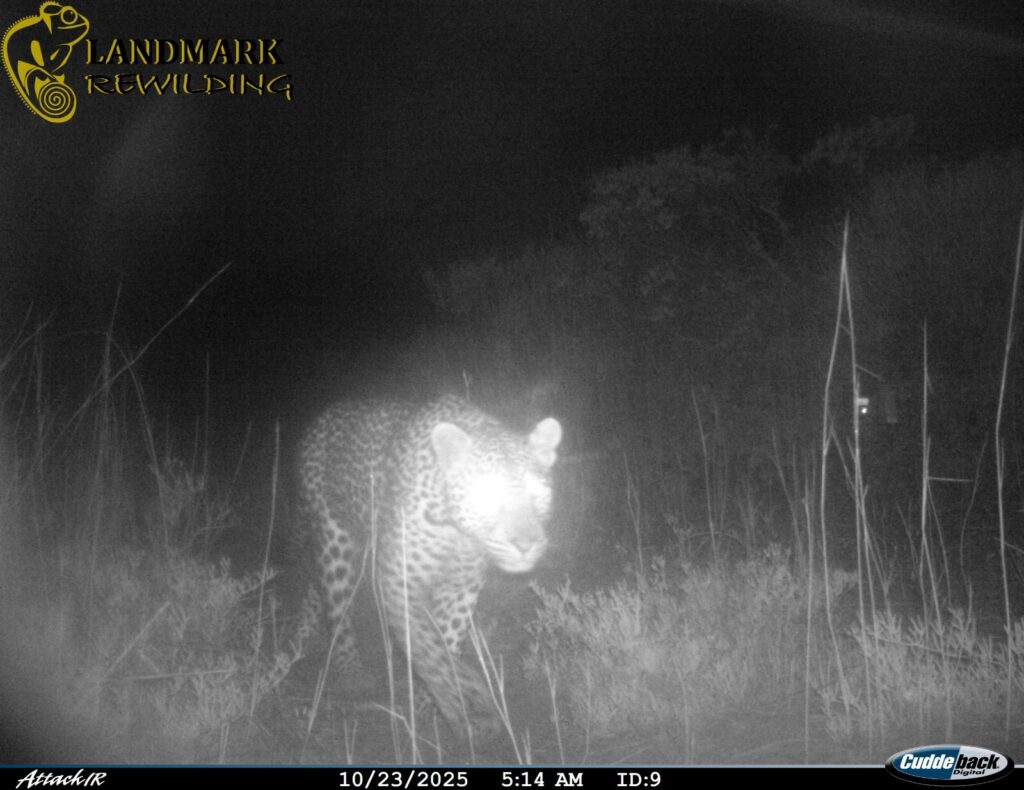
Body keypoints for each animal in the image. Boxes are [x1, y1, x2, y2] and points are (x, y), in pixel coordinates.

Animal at [292, 394, 562, 738]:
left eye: (539, 493)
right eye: (486, 494)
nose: (526, 544)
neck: (457, 532)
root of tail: (326, 415)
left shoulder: (461, 589)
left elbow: (446, 641)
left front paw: (432, 703)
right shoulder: (398, 583)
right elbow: (427, 649)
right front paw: (457, 706)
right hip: (333, 536)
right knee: (337, 604)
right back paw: (351, 674)